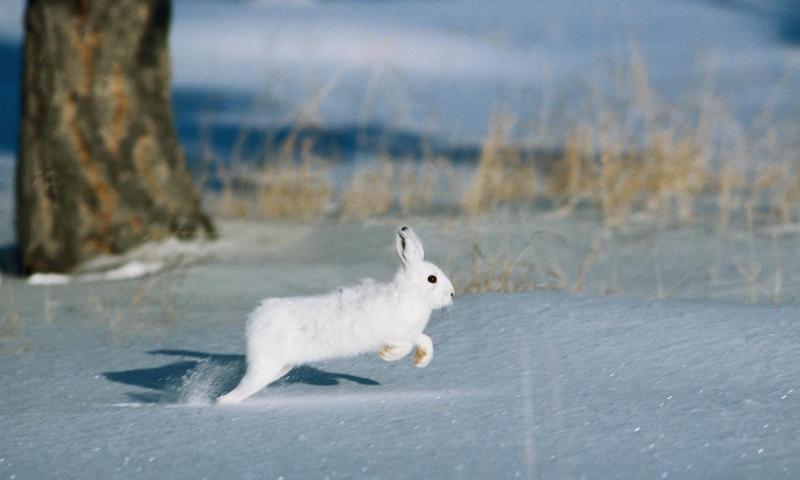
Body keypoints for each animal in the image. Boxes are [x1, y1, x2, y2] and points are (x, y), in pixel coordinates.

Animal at [216, 226, 455, 404]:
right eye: (432, 279)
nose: (452, 293)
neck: (410, 295)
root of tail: (253, 320)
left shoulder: (411, 334)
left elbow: (425, 340)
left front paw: (421, 362)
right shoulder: (392, 334)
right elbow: (403, 347)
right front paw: (387, 355)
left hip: (279, 367)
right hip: (265, 366)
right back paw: (220, 402)